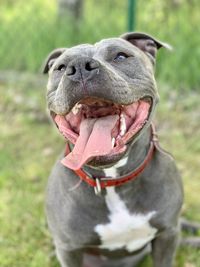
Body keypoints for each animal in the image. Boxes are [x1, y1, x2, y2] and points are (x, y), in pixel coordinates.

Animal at [43, 32, 184, 266]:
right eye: (61, 68)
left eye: (120, 56)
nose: (80, 67)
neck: (112, 181)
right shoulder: (68, 248)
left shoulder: (168, 234)